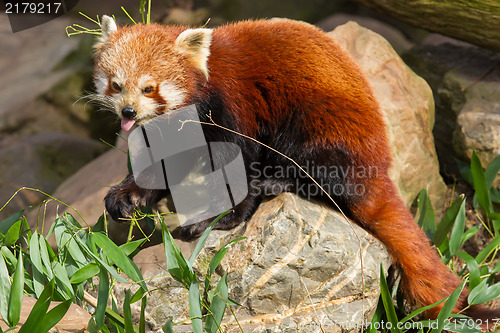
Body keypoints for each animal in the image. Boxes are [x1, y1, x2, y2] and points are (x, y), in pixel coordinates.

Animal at [94, 14, 500, 322]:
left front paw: (221, 217)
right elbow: (166, 164)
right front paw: (128, 194)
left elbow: (237, 166)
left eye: (149, 88)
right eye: (116, 85)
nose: (128, 112)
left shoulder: (232, 109)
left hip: (322, 123)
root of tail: (380, 162)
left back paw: (277, 182)